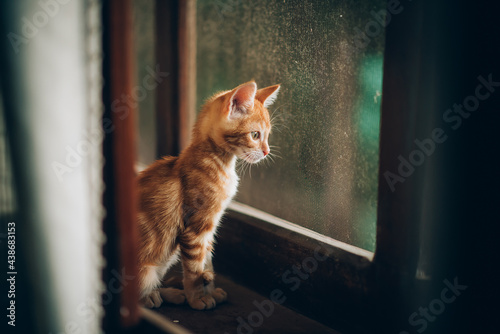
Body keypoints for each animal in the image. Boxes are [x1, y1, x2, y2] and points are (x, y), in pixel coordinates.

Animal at [137, 81, 280, 310]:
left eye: (267, 135)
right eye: (255, 135)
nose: (267, 151)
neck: (219, 162)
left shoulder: (209, 230)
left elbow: (207, 262)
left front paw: (210, 289)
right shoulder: (195, 229)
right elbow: (194, 269)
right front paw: (198, 297)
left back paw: (170, 293)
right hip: (149, 267)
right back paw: (152, 297)